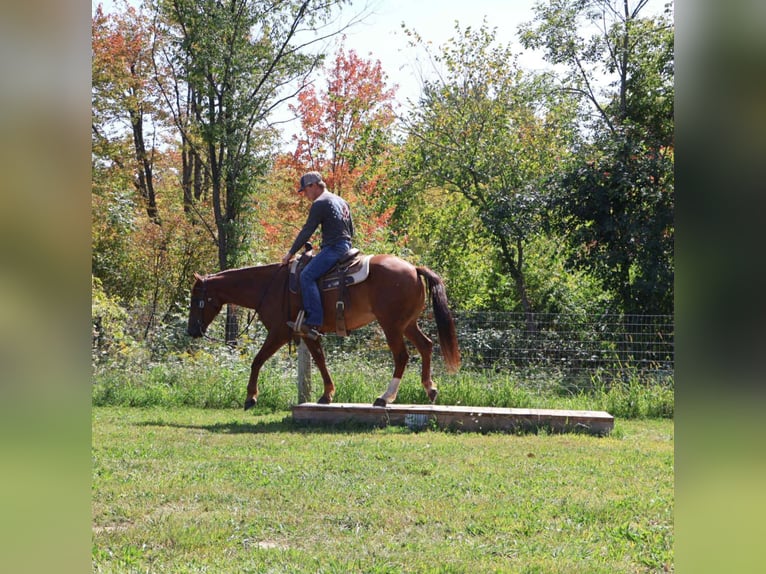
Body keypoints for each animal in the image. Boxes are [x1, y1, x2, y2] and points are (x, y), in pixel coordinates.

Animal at [186, 254, 461, 410]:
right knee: (426, 345)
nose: (192, 331)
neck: (269, 286)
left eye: (196, 298)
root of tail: (414, 269)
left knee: (402, 356)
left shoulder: (279, 332)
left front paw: (251, 397)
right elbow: (320, 361)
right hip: (407, 323)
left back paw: (385, 397)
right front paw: (327, 394)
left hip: (391, 325)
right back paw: (430, 388)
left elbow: (257, 360)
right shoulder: (306, 332)